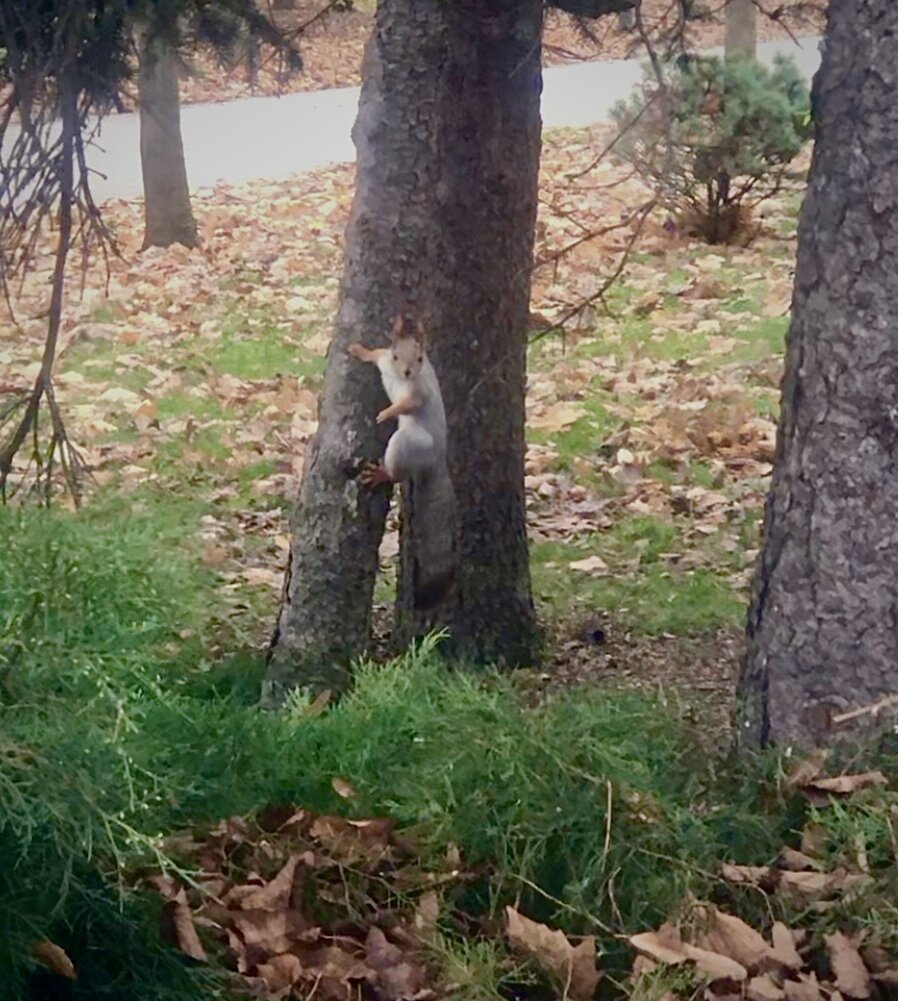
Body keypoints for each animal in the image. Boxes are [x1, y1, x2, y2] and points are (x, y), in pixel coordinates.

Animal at [344, 312, 456, 608]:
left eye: (419, 358)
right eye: (396, 355)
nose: (407, 371)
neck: (397, 378)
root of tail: (436, 460)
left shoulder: (419, 392)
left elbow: (408, 404)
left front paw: (388, 412)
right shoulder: (384, 361)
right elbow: (374, 355)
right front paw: (358, 350)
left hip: (407, 443)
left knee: (397, 473)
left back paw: (381, 474)